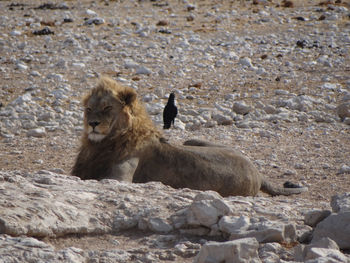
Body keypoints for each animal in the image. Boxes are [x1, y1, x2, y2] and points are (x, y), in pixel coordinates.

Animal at [72, 77, 308, 197]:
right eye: (89, 109)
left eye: (107, 108)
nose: (93, 124)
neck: (101, 144)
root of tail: (257, 172)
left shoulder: (122, 176)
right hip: (191, 140)